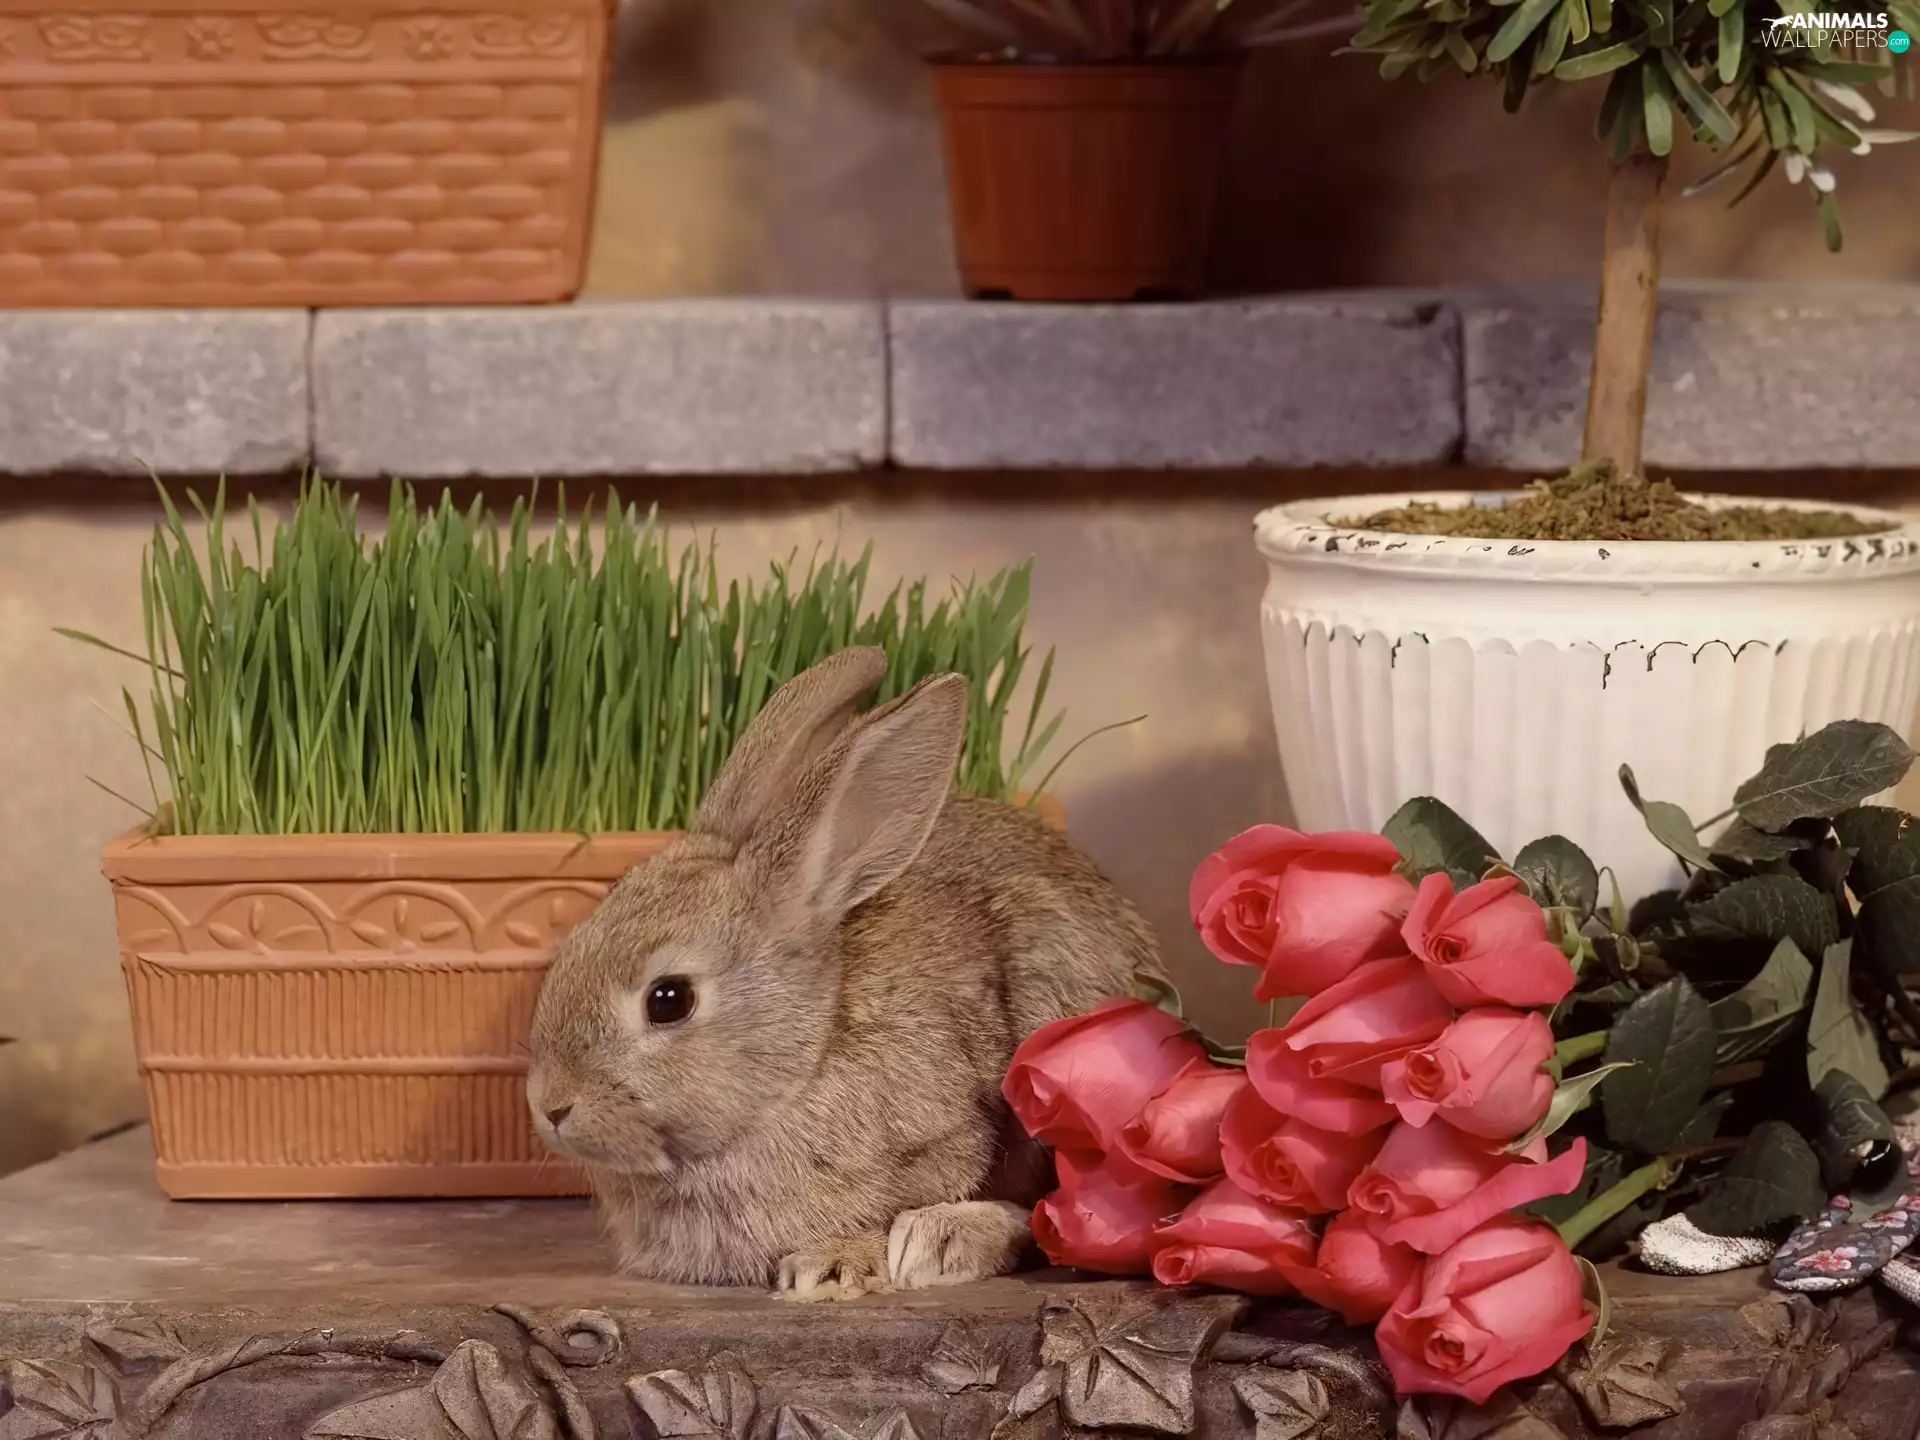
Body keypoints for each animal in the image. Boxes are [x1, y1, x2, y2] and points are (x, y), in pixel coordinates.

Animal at [526, 645, 1162, 1299]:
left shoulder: (948, 1133)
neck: (803, 1062)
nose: (550, 1107)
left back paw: (941, 1241)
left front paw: (833, 1266)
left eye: (669, 999)